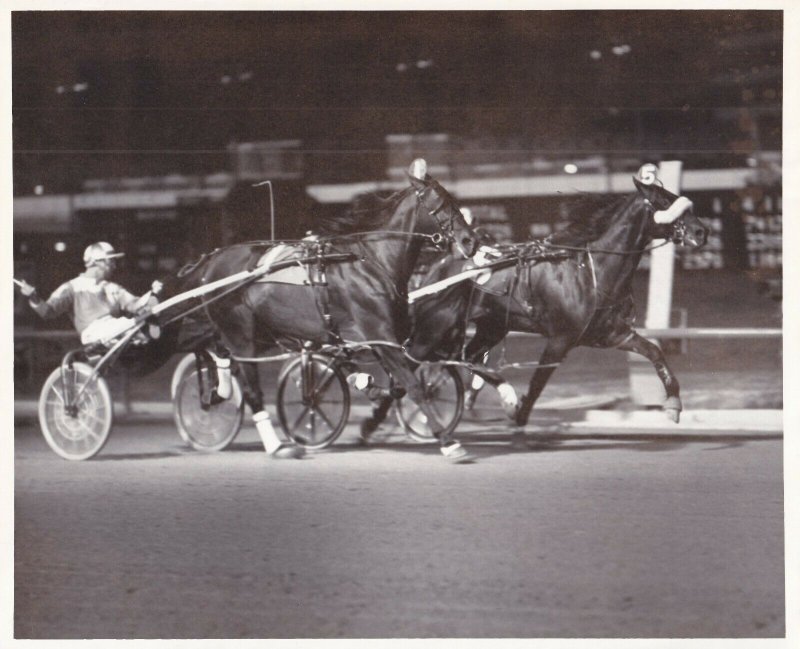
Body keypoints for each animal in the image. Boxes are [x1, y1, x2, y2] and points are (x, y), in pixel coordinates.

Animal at [159, 158, 478, 460]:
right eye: (441, 203)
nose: (471, 241)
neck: (372, 261)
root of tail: (210, 262)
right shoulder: (378, 333)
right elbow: (415, 388)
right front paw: (449, 443)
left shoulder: (382, 340)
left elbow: (398, 386)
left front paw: (367, 388)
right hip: (241, 334)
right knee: (250, 388)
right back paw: (276, 445)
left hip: (257, 331)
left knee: (215, 352)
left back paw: (218, 389)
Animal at [404, 175, 708, 430]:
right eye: (664, 201)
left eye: (672, 195)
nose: (701, 232)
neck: (592, 272)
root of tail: (439, 265)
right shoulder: (561, 339)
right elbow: (539, 382)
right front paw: (519, 414)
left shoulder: (612, 334)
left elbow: (655, 353)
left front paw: (674, 404)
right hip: (438, 325)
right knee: (433, 358)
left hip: (492, 326)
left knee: (468, 357)